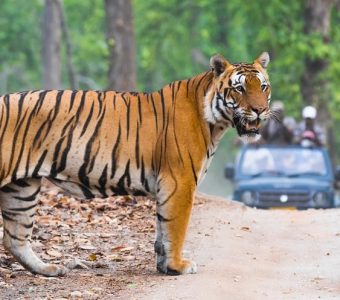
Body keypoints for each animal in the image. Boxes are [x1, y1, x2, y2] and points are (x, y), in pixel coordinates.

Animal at [0, 51, 270, 276]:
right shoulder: (180, 181)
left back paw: (49, 269)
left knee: (15, 239)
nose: (260, 110)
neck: (215, 124)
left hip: (22, 189)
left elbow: (163, 229)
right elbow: (176, 227)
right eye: (239, 89)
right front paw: (177, 266)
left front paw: (164, 266)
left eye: (264, 86)